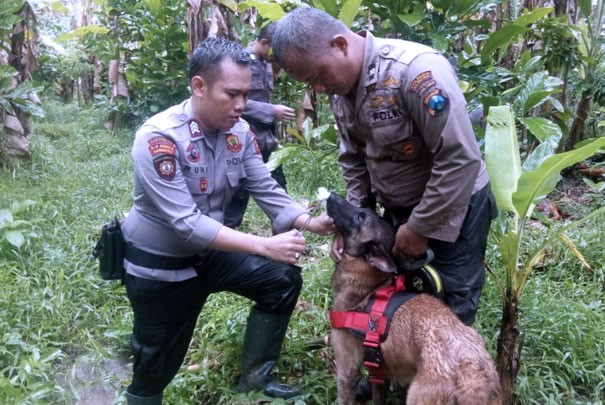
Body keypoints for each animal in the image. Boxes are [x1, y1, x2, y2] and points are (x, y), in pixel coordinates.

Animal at [326, 193, 500, 404]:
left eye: (360, 218)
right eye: (363, 211)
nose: (331, 195)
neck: (370, 287)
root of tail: (471, 378)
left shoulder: (347, 370)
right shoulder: (379, 374)